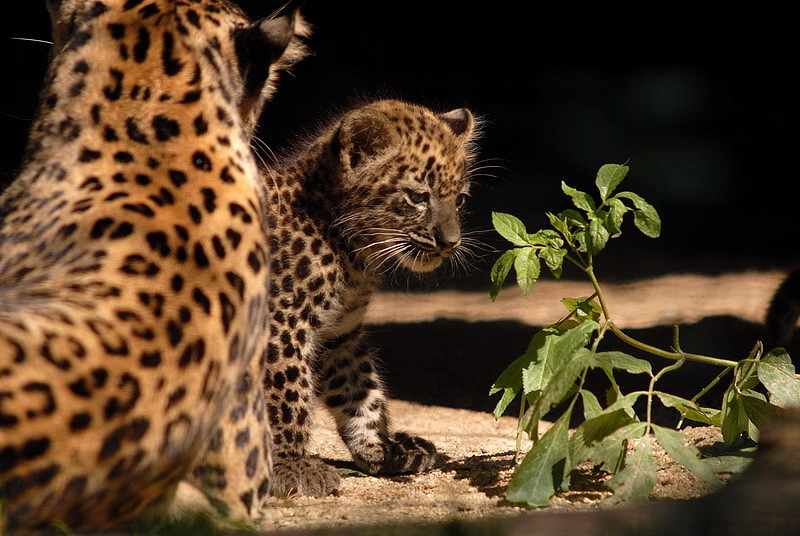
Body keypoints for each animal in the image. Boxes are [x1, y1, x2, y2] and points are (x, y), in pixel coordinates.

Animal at [258, 99, 477, 497]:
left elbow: (361, 389)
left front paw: (384, 448)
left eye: (460, 199)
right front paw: (289, 465)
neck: (353, 257)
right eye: (418, 197)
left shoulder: (340, 333)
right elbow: (287, 396)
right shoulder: (280, 324)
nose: (450, 242)